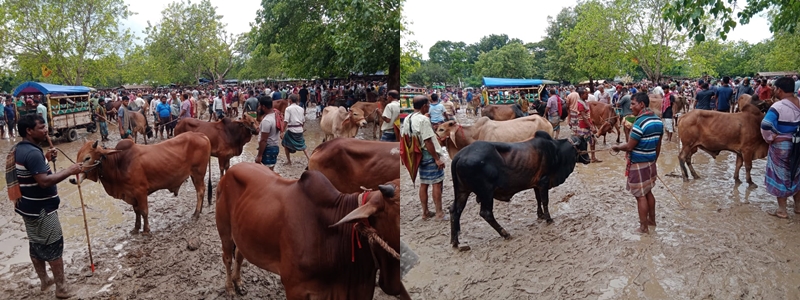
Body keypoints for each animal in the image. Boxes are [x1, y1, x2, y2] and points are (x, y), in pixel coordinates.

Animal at [71, 132, 211, 234]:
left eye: (87, 157)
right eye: (77, 155)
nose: (72, 179)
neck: (118, 163)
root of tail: (201, 135)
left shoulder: (140, 191)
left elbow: (144, 211)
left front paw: (146, 230)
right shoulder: (131, 194)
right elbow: (136, 211)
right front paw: (136, 228)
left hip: (198, 173)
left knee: (200, 191)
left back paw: (196, 213)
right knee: (202, 190)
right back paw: (199, 211)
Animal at [216, 165, 410, 298]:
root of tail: (231, 170)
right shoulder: (295, 288)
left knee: (239, 254)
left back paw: (239, 282)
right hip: (224, 230)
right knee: (227, 258)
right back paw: (230, 288)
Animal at [454, 132, 592, 247]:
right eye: (584, 145)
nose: (589, 159)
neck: (556, 150)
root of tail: (460, 155)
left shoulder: (536, 184)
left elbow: (538, 199)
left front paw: (540, 215)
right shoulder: (544, 181)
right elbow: (545, 201)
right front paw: (548, 219)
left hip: (462, 190)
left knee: (455, 210)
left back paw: (455, 242)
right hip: (486, 193)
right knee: (486, 213)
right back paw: (505, 233)